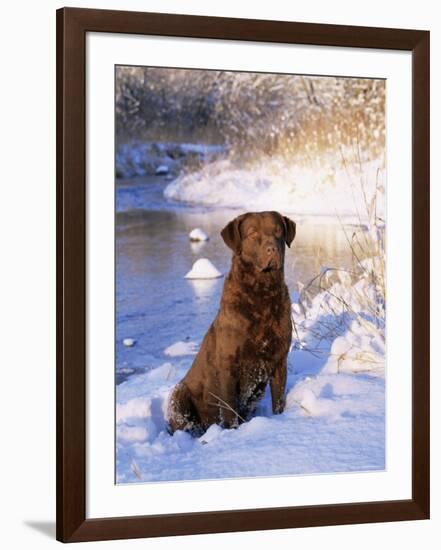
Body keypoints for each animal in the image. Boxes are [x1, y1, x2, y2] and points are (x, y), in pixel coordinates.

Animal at [168, 211, 296, 436]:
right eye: (252, 233)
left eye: (278, 231)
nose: (272, 248)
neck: (262, 296)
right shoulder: (228, 365)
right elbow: (229, 409)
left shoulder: (280, 361)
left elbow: (279, 401)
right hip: (179, 394)